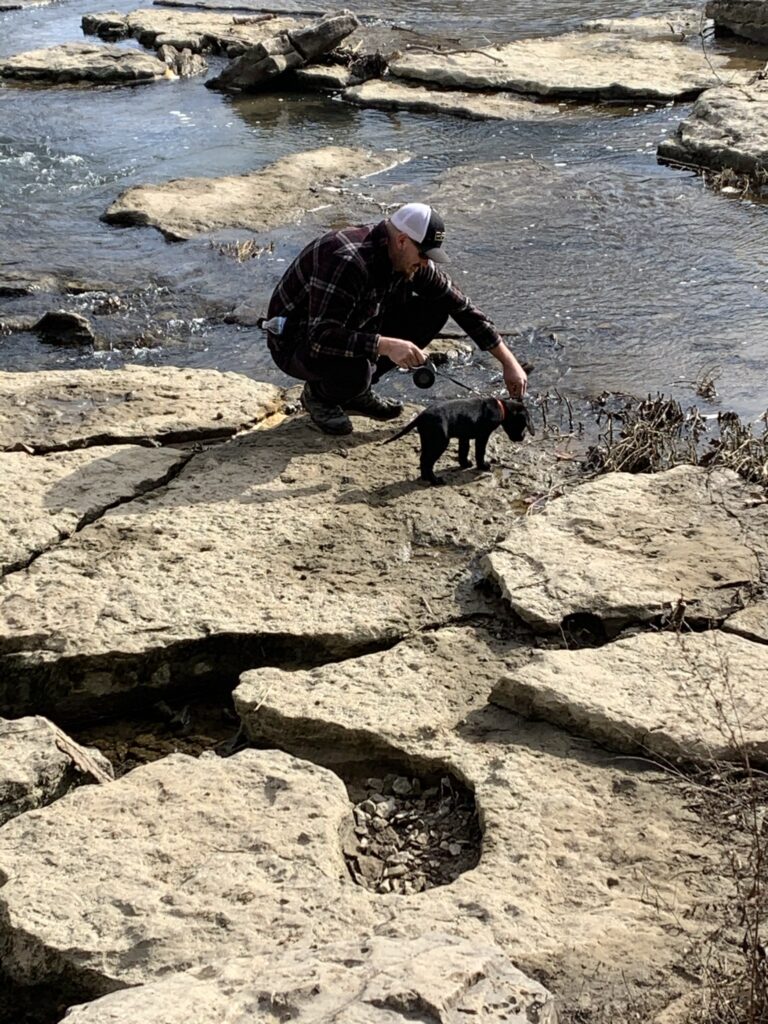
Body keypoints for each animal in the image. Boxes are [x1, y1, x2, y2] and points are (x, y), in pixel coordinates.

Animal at [385, 395, 536, 483]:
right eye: (523, 424)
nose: (522, 438)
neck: (501, 407)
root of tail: (421, 416)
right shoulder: (483, 436)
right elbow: (480, 452)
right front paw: (483, 466)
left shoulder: (464, 437)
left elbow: (463, 451)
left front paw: (465, 464)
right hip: (439, 443)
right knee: (428, 462)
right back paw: (435, 480)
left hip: (428, 440)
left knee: (423, 460)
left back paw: (425, 478)